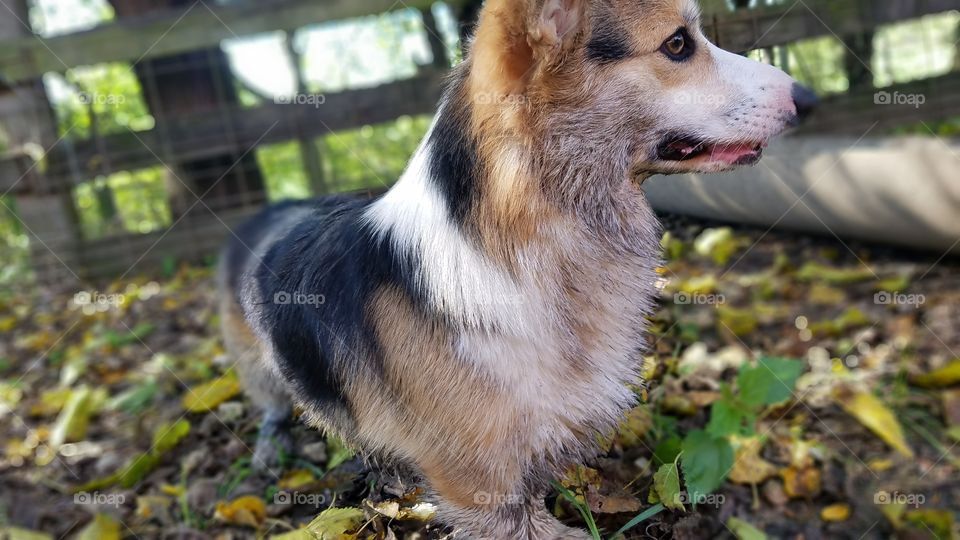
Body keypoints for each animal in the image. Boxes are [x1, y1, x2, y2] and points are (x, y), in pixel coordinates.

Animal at [219, 0, 816, 536]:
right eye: (676, 44)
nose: (809, 97)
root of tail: (267, 211)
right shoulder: (482, 490)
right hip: (261, 367)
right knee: (273, 407)